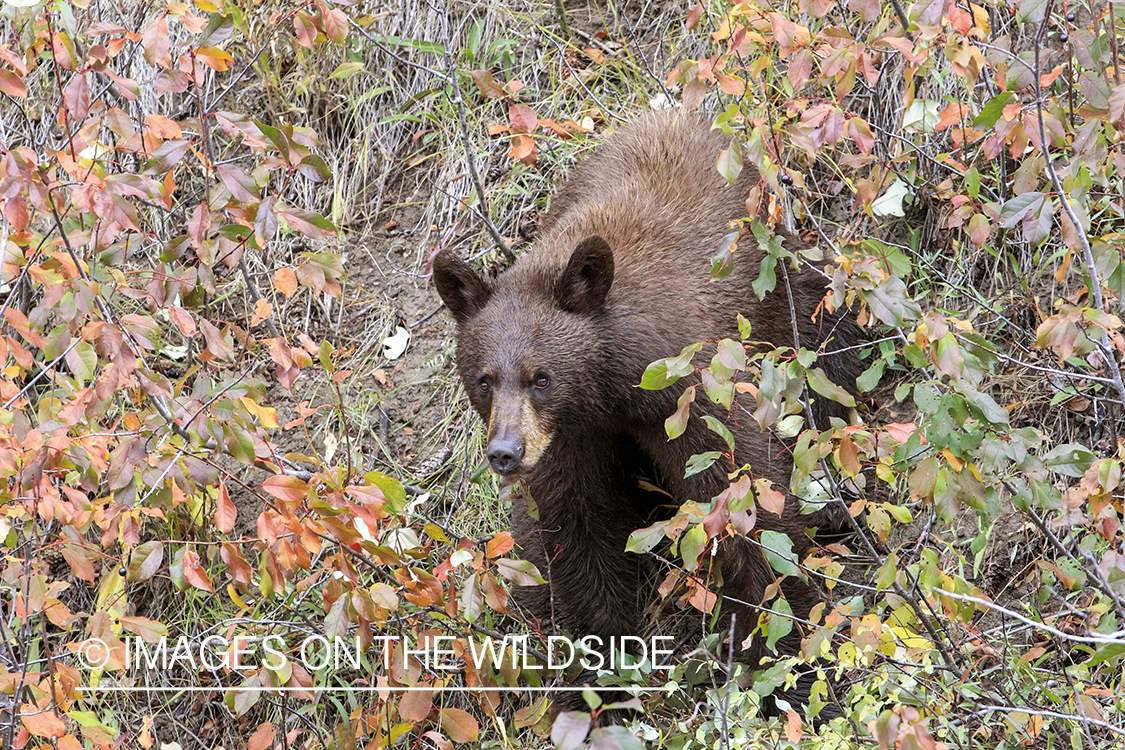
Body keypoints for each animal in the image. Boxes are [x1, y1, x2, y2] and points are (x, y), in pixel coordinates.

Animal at [432, 106, 859, 715]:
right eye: (485, 380)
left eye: (542, 377)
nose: (505, 453)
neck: (611, 393)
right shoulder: (569, 441)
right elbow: (575, 532)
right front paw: (601, 672)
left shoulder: (687, 393)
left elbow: (746, 496)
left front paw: (785, 659)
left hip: (782, 286)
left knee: (827, 339)